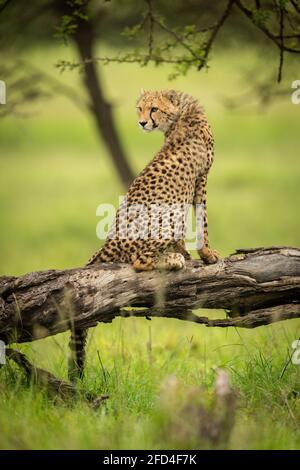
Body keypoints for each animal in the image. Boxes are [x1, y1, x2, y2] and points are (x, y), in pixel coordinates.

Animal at [68, 90, 218, 380]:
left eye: (153, 109)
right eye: (140, 108)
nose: (142, 122)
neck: (182, 113)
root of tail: (110, 240)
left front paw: (186, 251)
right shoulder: (201, 179)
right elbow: (202, 220)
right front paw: (205, 254)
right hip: (165, 217)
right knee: (139, 261)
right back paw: (172, 260)